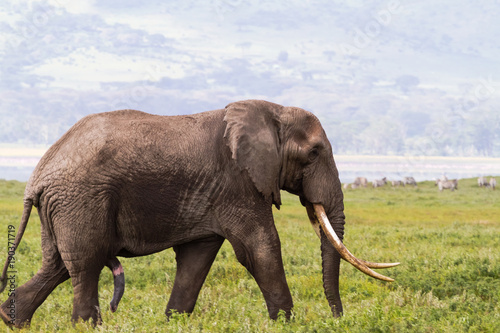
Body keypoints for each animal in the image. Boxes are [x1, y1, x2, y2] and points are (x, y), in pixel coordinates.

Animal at [0, 99, 398, 326]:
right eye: (314, 153)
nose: (337, 318)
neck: (270, 112)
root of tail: (37, 174)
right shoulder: (239, 181)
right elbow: (260, 248)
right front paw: (287, 322)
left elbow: (198, 257)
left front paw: (173, 321)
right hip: (81, 199)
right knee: (85, 264)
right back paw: (85, 325)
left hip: (63, 206)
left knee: (58, 265)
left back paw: (12, 319)